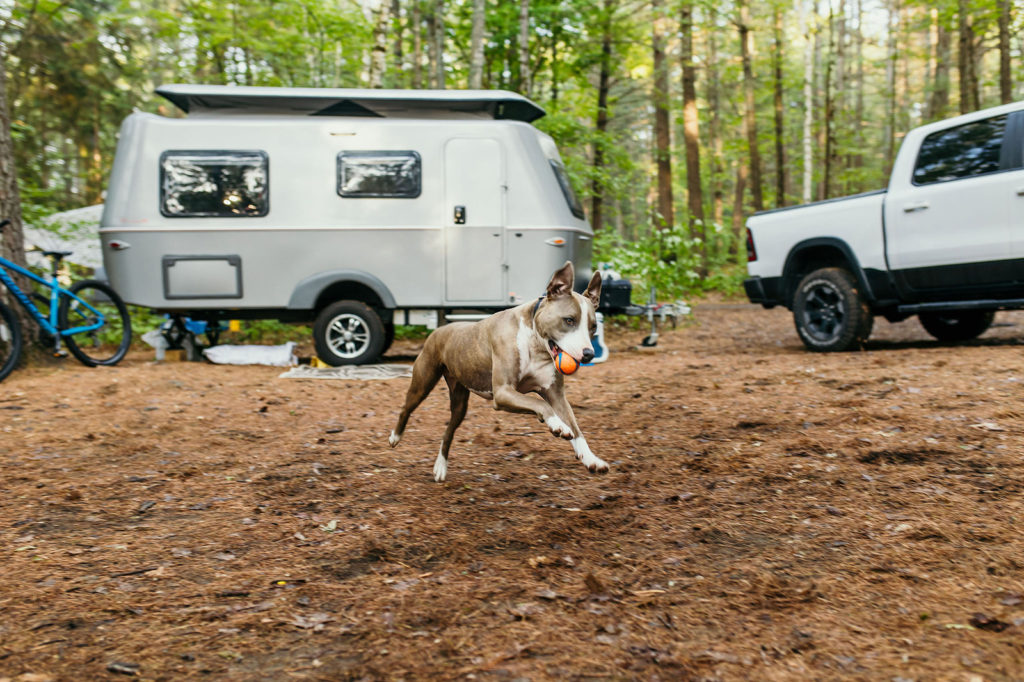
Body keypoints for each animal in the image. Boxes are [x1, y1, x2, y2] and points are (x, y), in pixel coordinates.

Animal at [387, 259, 602, 477]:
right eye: (569, 320)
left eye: (593, 327)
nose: (589, 353)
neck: (535, 342)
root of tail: (439, 330)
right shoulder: (503, 392)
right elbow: (540, 404)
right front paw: (558, 424)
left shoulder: (555, 394)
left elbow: (575, 426)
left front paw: (591, 459)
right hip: (423, 382)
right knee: (406, 408)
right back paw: (395, 437)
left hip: (459, 402)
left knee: (449, 430)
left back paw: (440, 467)